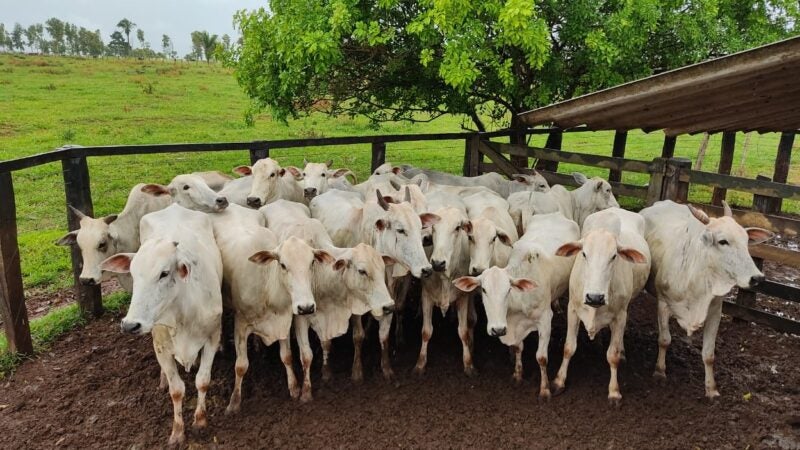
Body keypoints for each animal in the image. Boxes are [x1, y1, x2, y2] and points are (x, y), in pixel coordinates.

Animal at [99, 204, 223, 445]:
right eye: (133, 274)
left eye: (164, 273)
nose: (130, 325)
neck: (184, 314)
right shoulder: (161, 347)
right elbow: (177, 390)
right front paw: (177, 432)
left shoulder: (212, 337)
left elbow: (203, 381)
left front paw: (200, 421)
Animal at [454, 212, 579, 398]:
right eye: (483, 290)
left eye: (508, 290)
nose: (497, 329)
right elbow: (518, 347)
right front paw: (518, 375)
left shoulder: (545, 320)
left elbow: (541, 357)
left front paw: (545, 390)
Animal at [553, 207, 650, 404]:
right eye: (584, 254)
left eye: (614, 256)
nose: (594, 297)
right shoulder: (572, 309)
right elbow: (568, 348)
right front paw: (559, 381)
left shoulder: (620, 316)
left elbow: (612, 356)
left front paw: (614, 391)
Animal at [640, 200, 773, 398]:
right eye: (723, 241)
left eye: (746, 241)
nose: (757, 278)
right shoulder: (663, 304)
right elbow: (664, 340)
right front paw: (659, 371)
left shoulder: (715, 312)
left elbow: (709, 355)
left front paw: (711, 389)